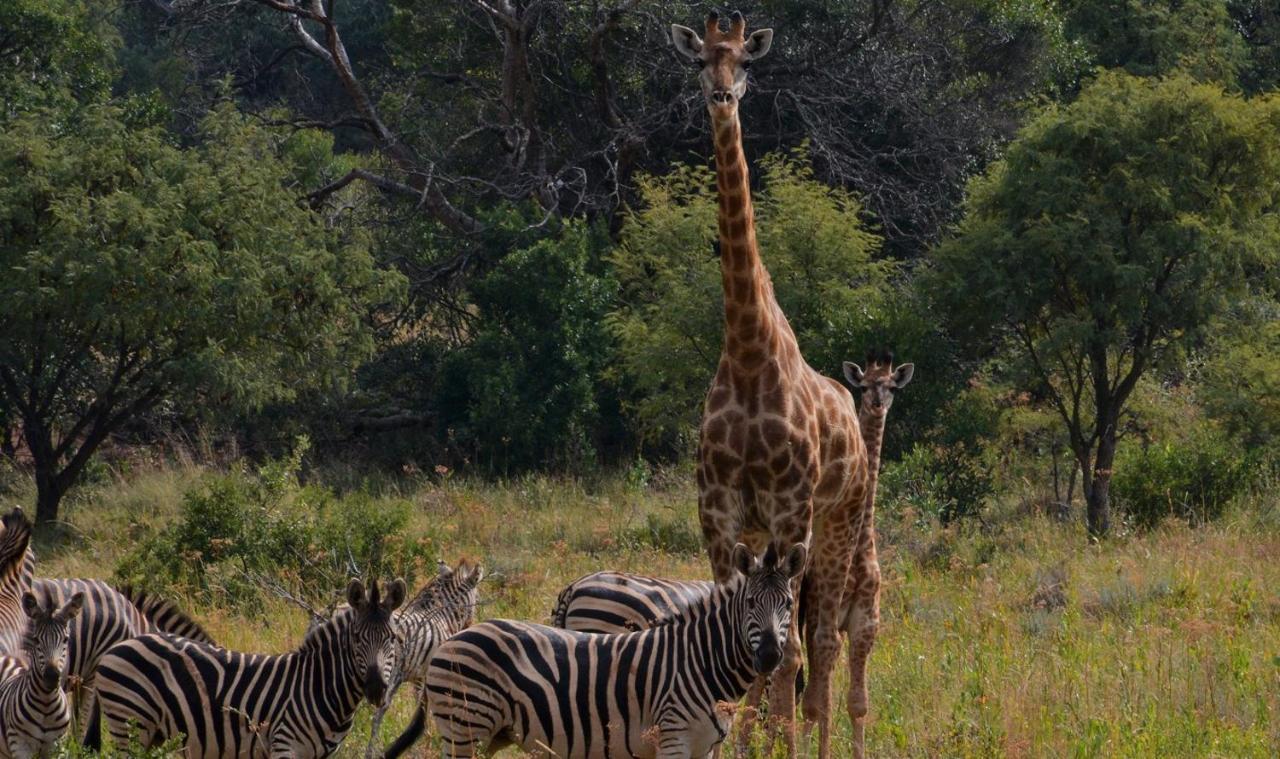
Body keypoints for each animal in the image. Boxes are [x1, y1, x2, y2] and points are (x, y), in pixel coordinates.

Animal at [0, 583, 83, 752]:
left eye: (66, 639)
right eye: (36, 640)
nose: (52, 676)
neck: (46, 703)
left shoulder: (56, 746)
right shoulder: (20, 746)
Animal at [93, 575, 404, 752]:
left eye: (393, 637)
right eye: (357, 638)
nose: (376, 688)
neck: (319, 687)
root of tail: (123, 644)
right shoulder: (283, 744)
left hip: (151, 732)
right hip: (129, 722)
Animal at [376, 555, 486, 757]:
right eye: (477, 599)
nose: (470, 625)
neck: (441, 616)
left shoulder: (417, 675)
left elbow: (418, 705)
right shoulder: (426, 674)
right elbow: (423, 706)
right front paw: (428, 736)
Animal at [424, 542, 803, 752]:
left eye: (788, 604)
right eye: (750, 603)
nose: (770, 655)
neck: (702, 661)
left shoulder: (705, 746)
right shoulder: (672, 738)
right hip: (465, 726)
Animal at [670, 11, 870, 757]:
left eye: (746, 63)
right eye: (700, 62)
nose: (722, 98)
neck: (751, 355)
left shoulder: (791, 512)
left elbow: (787, 651)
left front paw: (775, 738)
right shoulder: (719, 513)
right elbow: (737, 632)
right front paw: (734, 734)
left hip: (838, 527)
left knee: (821, 644)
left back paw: (812, 735)